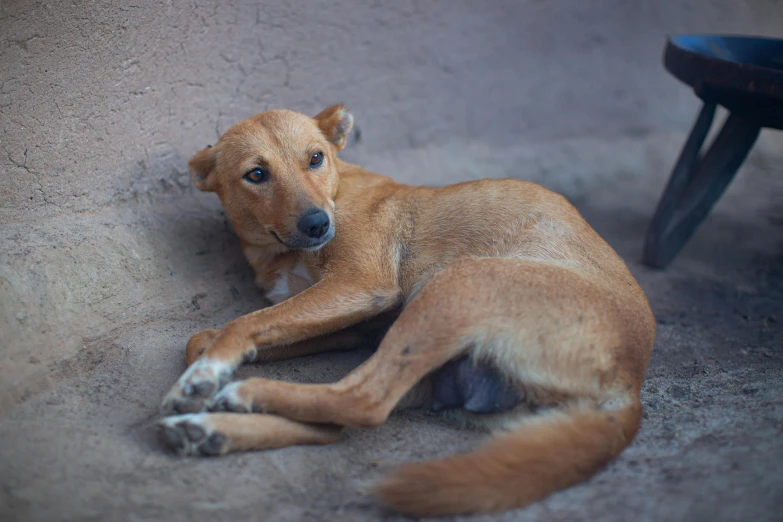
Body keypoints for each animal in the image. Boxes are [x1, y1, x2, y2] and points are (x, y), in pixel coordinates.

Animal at [158, 105, 656, 516]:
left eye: (315, 158)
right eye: (256, 174)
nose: (317, 224)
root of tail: (628, 383)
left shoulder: (362, 286)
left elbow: (239, 326)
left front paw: (205, 376)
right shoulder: (352, 325)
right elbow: (206, 337)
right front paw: (207, 371)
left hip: (453, 284)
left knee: (362, 401)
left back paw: (238, 398)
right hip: (431, 362)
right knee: (336, 422)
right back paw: (207, 429)